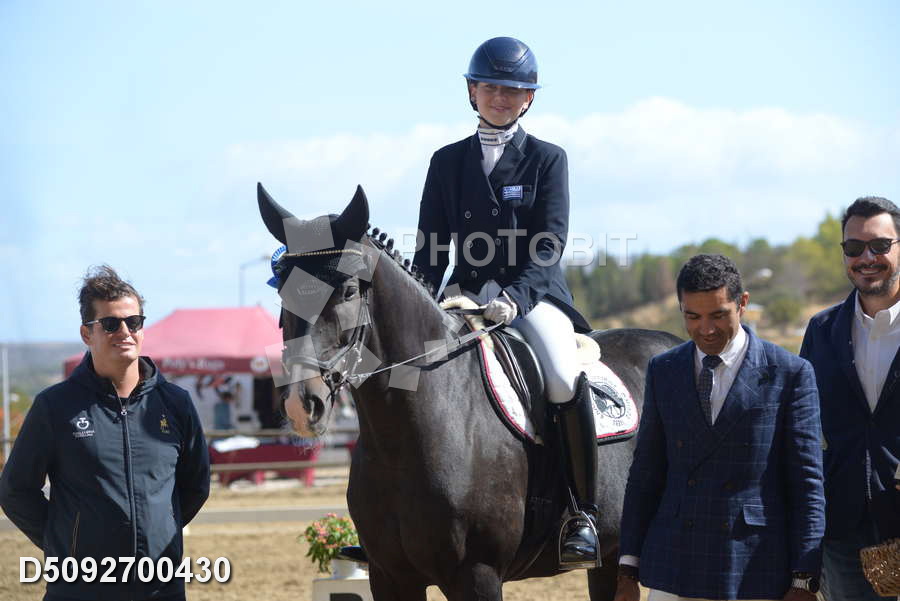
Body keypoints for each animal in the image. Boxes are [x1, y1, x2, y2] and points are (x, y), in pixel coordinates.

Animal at [257, 183, 681, 601]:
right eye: (282, 293)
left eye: (347, 291)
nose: (301, 405)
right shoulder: (389, 576)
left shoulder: (477, 574)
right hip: (611, 559)